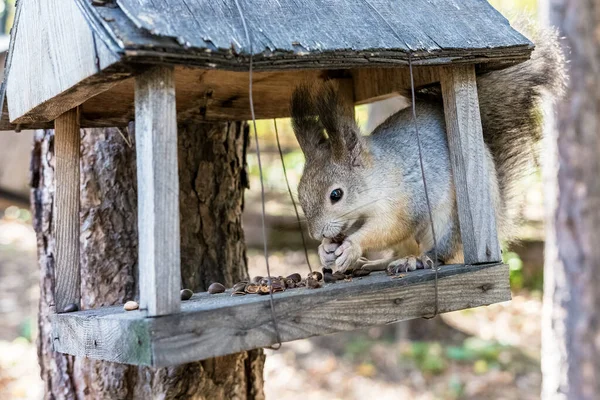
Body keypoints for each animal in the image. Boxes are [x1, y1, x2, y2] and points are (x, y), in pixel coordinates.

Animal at [290, 26, 568, 274]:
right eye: (301, 193)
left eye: (336, 195)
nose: (316, 233)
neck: (379, 176)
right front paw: (325, 251)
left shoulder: (407, 199)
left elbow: (390, 227)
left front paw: (352, 246)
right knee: (399, 251)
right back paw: (376, 263)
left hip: (448, 223)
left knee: (440, 254)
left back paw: (416, 260)